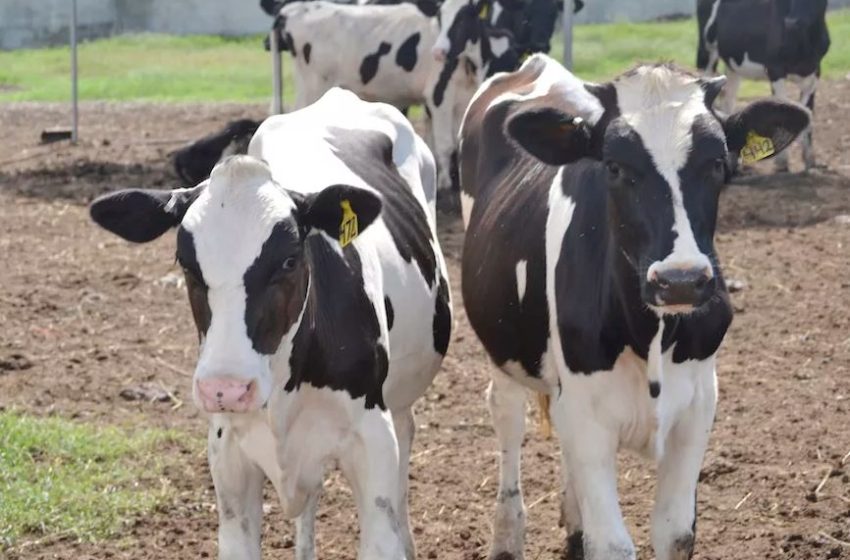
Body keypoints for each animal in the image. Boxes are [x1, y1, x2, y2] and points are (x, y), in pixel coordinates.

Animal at [89, 88, 453, 560]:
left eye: (290, 260)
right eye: (186, 263)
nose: (225, 389)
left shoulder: (372, 440)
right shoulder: (228, 452)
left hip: (401, 402)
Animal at [274, 0, 519, 193]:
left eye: (466, 16)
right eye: (441, 17)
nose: (438, 52)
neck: (470, 64)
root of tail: (295, 9)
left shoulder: (462, 99)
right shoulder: (438, 96)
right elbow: (445, 145)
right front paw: (446, 185)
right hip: (313, 87)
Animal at [457, 54, 809, 560]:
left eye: (718, 163)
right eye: (614, 167)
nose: (680, 280)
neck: (652, 337)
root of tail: (536, 65)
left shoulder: (698, 405)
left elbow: (675, 531)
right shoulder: (587, 412)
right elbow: (613, 544)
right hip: (500, 345)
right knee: (506, 415)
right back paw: (507, 537)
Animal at [697, 0, 829, 171]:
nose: (791, 22)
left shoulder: (816, 71)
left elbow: (808, 114)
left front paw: (810, 162)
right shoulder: (775, 69)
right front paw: (782, 163)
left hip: (732, 66)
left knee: (729, 99)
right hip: (708, 52)